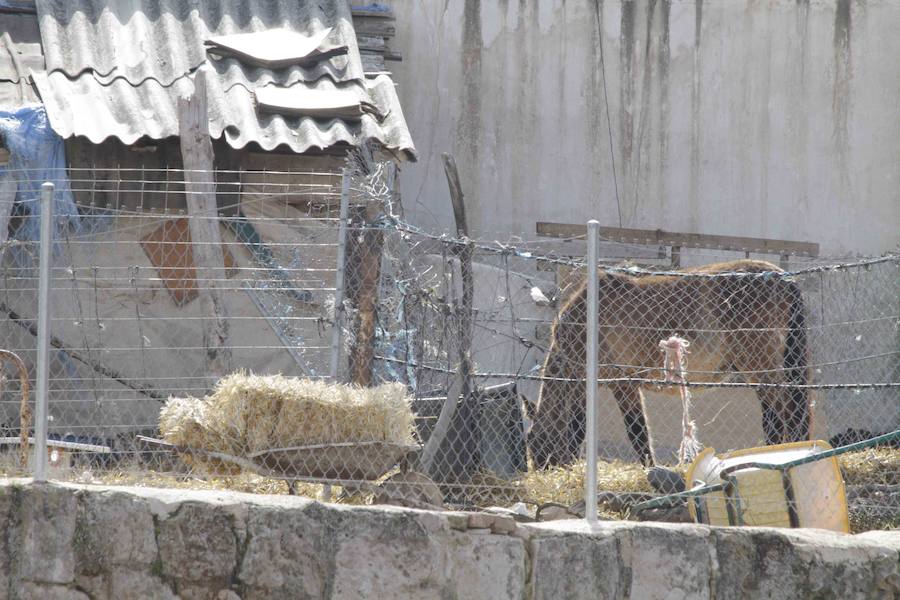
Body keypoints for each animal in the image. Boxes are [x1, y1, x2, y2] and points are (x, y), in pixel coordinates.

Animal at [532, 260, 812, 466]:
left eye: (533, 439)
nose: (540, 468)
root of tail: (782, 277)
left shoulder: (622, 384)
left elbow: (633, 431)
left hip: (759, 366)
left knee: (788, 413)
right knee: (776, 416)